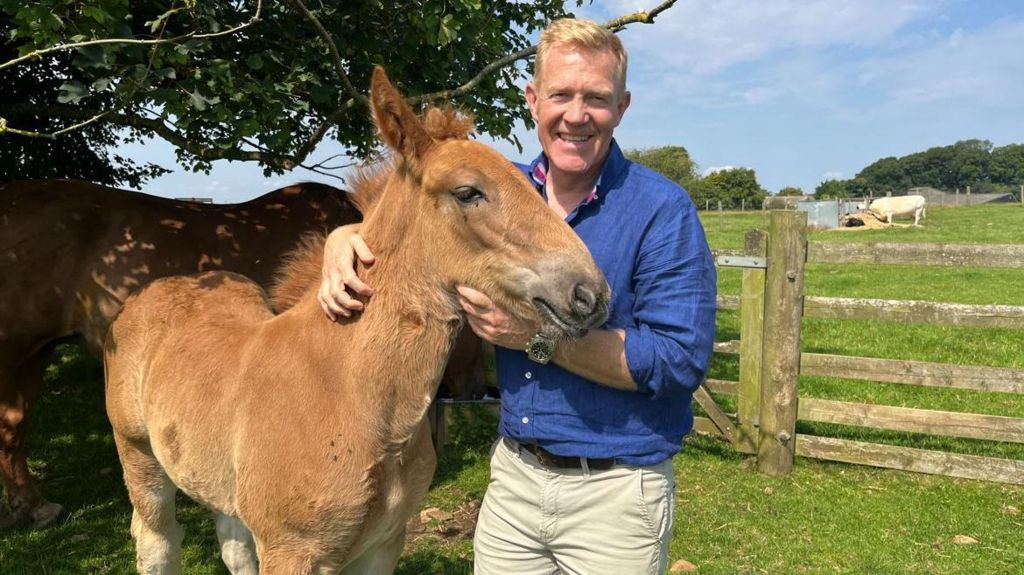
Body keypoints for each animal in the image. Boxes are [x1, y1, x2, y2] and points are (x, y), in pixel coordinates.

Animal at [105, 64, 606, 568]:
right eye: (468, 192)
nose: (591, 294)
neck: (349, 390)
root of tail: (152, 290)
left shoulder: (385, 544)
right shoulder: (292, 550)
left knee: (231, 543)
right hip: (140, 459)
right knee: (157, 540)